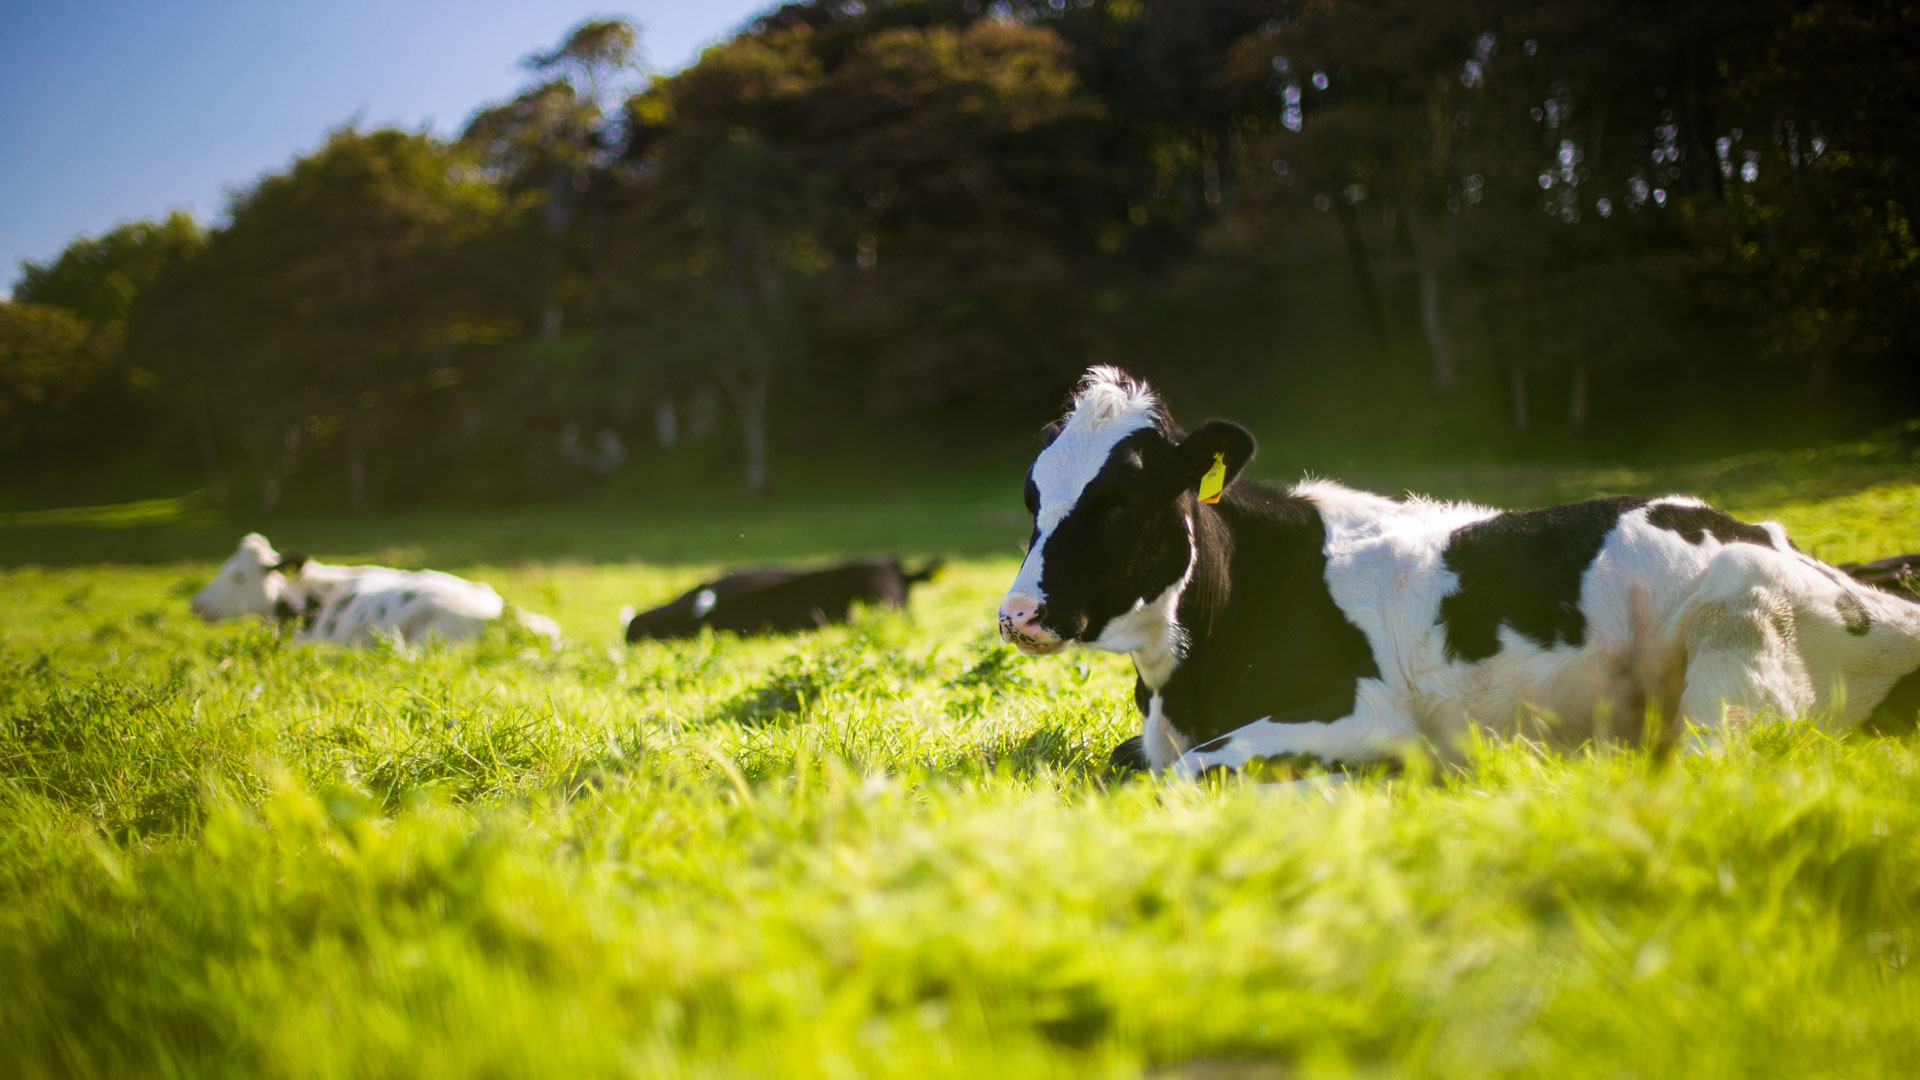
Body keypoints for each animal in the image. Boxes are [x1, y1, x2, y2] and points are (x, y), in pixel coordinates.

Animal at [998, 365, 1920, 776]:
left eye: (1120, 500)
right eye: (1032, 494)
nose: (1017, 614)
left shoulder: (1363, 712)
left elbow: (1192, 770)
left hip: (1736, 659)